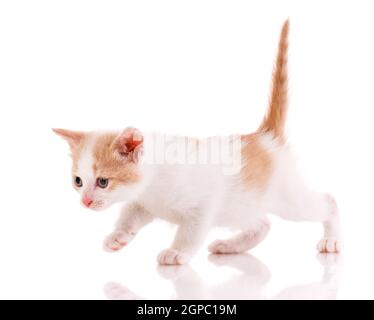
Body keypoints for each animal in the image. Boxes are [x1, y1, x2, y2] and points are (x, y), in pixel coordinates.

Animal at [52, 20, 342, 264]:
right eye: (77, 181)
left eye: (103, 182)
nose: (85, 201)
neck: (155, 182)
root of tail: (265, 137)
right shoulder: (145, 202)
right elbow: (130, 215)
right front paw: (118, 236)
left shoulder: (203, 203)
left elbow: (191, 230)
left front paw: (177, 252)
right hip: (243, 206)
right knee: (263, 224)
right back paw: (230, 246)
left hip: (287, 198)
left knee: (326, 201)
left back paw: (331, 239)